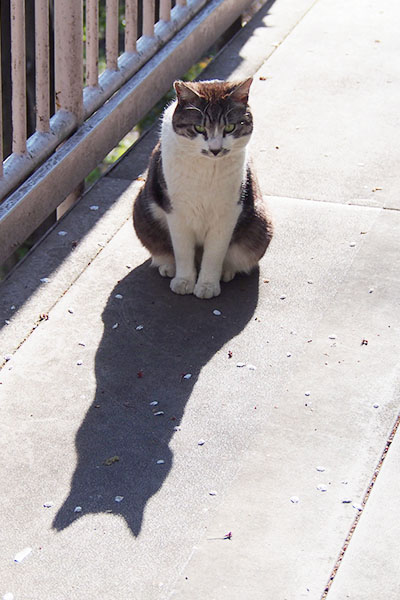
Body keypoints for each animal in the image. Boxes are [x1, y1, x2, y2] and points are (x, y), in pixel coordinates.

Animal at [133, 77, 274, 298]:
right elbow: (182, 251)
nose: (215, 149)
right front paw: (184, 281)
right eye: (199, 128)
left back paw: (226, 271)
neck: (207, 170)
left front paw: (207, 285)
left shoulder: (228, 213)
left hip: (259, 223)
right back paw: (168, 266)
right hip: (142, 211)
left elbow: (214, 254)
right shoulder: (176, 212)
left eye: (230, 127)